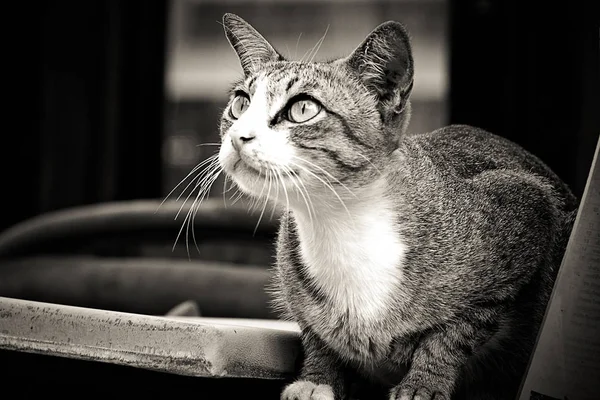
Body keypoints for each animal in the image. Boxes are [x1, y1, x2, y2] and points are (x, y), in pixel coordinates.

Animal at [213, 12, 580, 400]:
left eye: (303, 108)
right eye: (240, 104)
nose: (238, 137)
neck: (341, 220)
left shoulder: (528, 207)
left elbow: (453, 334)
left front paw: (423, 383)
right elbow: (316, 331)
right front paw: (318, 378)